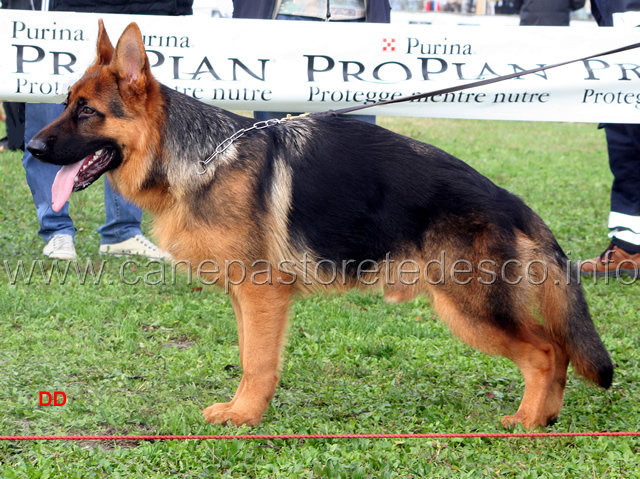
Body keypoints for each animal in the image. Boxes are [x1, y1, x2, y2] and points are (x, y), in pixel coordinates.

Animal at [26, 20, 616, 430]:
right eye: (65, 104)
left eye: (87, 111)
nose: (30, 148)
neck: (198, 155)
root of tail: (508, 199)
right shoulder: (246, 296)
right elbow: (249, 355)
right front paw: (246, 410)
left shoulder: (262, 293)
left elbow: (257, 361)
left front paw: (244, 418)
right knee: (557, 351)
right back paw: (546, 417)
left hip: (468, 308)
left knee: (547, 351)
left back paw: (528, 421)